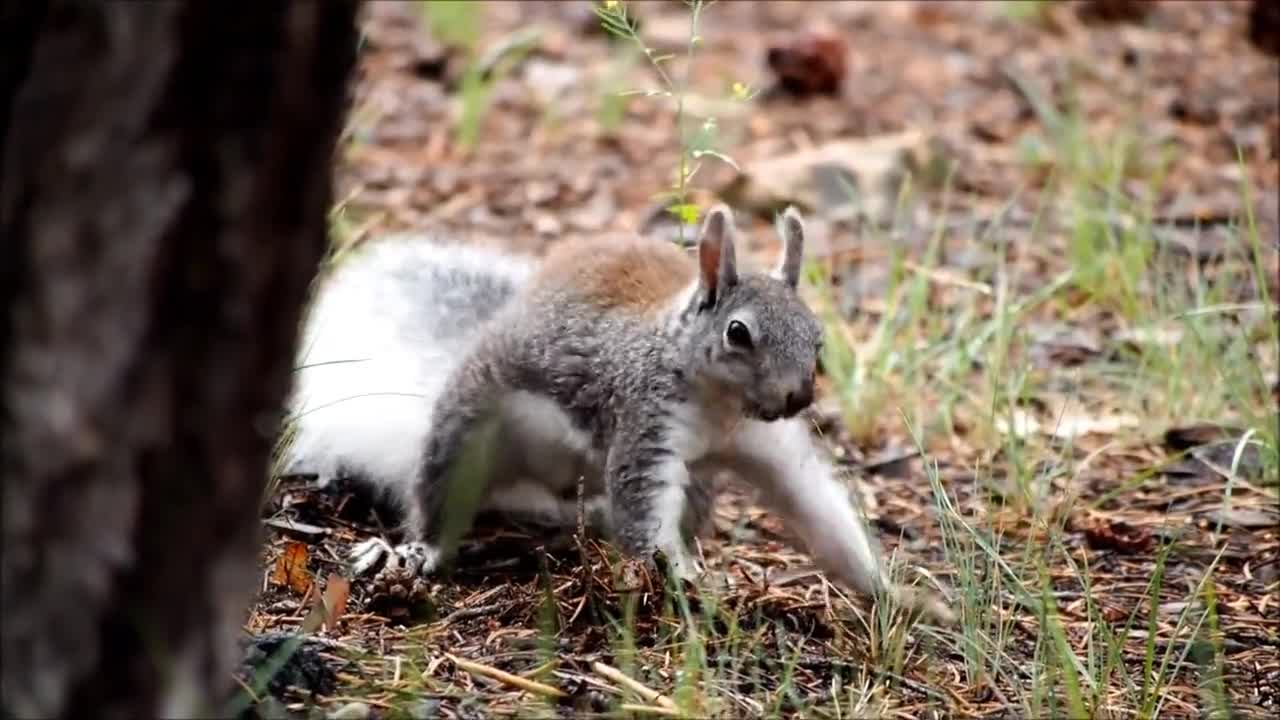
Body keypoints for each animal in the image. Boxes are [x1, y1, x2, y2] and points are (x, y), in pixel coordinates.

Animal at [281, 204, 954, 625]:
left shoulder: (770, 448)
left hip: (685, 487)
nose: (798, 397)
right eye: (738, 333)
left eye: (817, 337)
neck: (721, 410)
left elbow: (819, 512)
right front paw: (693, 587)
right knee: (437, 493)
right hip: (466, 427)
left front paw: (897, 596)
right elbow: (645, 519)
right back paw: (415, 551)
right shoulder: (645, 425)